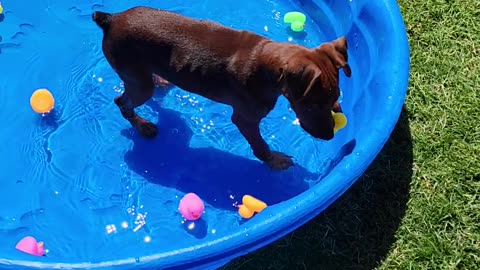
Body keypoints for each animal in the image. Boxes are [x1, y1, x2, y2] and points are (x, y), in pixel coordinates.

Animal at [92, 6, 350, 170]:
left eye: (332, 99)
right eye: (311, 106)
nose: (329, 136)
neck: (267, 65)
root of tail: (111, 18)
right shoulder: (245, 119)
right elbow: (260, 144)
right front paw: (273, 161)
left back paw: (161, 81)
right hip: (138, 82)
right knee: (123, 102)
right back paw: (143, 126)